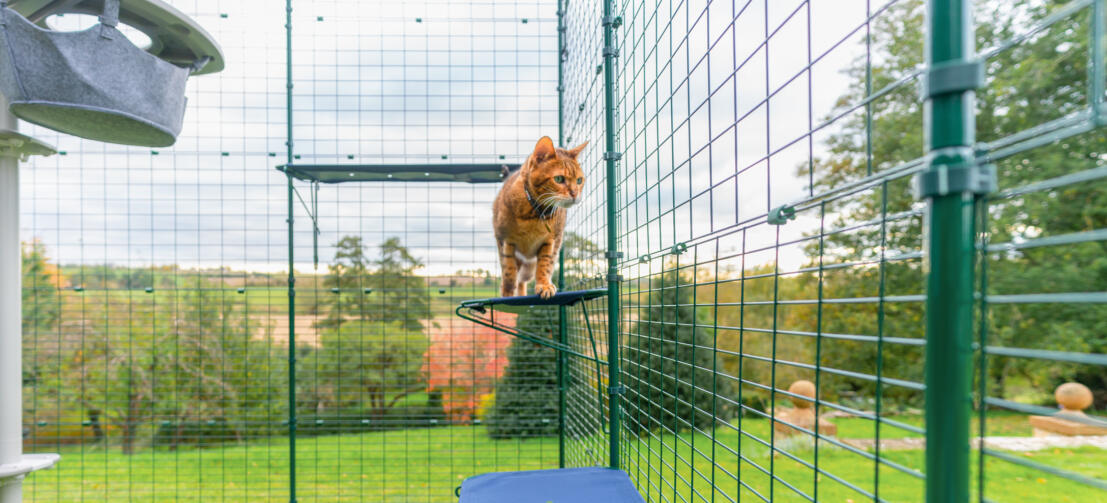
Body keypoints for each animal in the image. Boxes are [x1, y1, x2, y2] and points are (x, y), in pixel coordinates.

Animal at [495, 135, 588, 296]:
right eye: (559, 179)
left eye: (579, 180)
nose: (575, 194)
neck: (535, 213)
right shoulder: (505, 241)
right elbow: (509, 273)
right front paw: (506, 294)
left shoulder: (551, 241)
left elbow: (545, 265)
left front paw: (544, 285)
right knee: (516, 277)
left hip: (531, 266)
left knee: (523, 281)